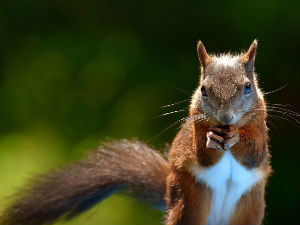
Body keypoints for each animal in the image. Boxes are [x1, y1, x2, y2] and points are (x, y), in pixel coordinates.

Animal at [0, 40, 272, 225]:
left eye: (248, 87)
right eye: (203, 89)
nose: (226, 118)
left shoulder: (260, 130)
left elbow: (254, 154)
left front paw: (236, 137)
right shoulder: (192, 132)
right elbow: (201, 156)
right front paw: (211, 139)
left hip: (248, 209)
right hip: (189, 203)